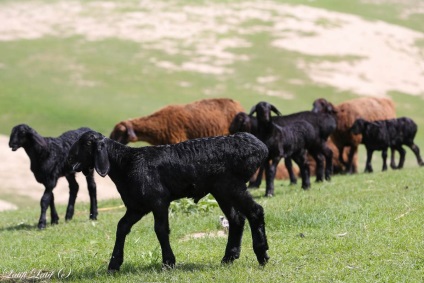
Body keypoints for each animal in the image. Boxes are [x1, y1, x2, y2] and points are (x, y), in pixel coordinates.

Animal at [68, 131, 270, 270]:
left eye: (85, 143)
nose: (68, 157)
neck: (126, 163)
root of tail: (259, 146)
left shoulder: (158, 199)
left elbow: (160, 229)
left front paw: (168, 262)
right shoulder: (137, 206)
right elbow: (122, 227)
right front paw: (114, 264)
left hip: (232, 185)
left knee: (255, 211)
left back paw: (262, 254)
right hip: (221, 190)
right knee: (237, 219)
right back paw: (229, 257)